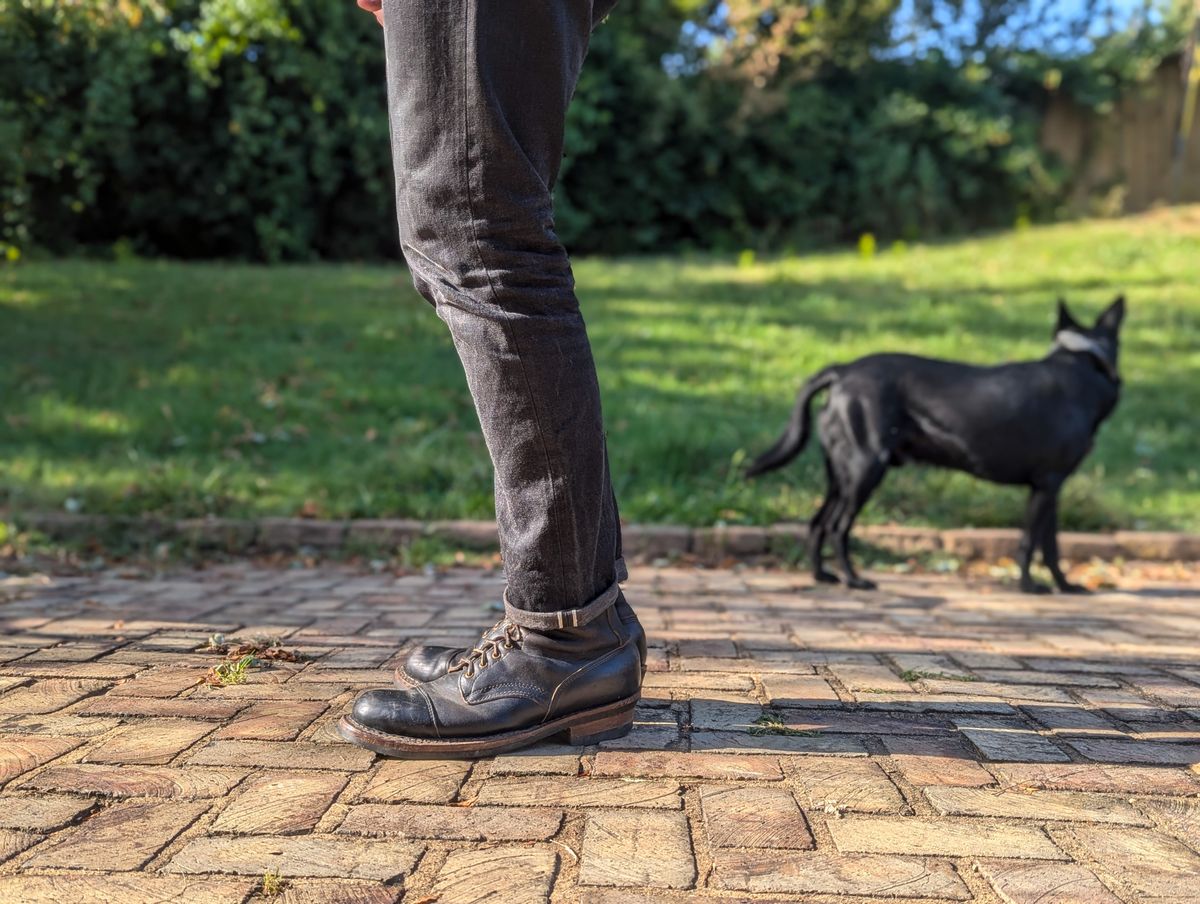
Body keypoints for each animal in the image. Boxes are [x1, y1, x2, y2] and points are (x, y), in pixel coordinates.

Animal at [748, 294, 1123, 593]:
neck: (1078, 367)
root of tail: (843, 371)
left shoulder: (1052, 488)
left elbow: (1052, 545)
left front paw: (1065, 586)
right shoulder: (1047, 484)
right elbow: (1029, 542)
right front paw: (1029, 586)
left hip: (841, 476)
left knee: (817, 523)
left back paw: (822, 576)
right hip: (866, 469)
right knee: (839, 527)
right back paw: (854, 580)